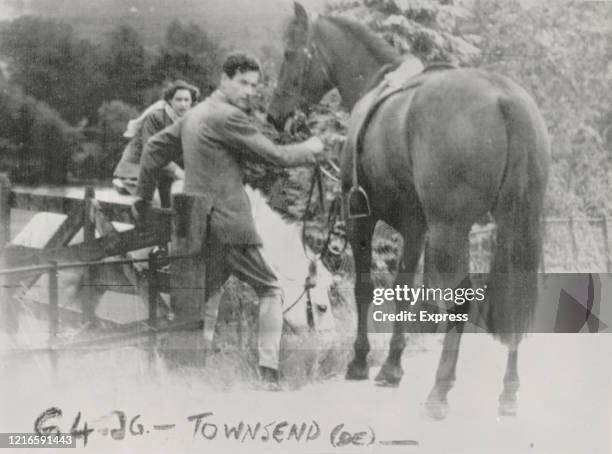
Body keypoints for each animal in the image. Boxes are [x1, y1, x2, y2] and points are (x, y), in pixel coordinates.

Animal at [268, 2, 548, 418]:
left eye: (289, 54)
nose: (275, 116)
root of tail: (504, 98)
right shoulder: (416, 227)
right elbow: (402, 287)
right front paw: (391, 366)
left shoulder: (360, 217)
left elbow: (365, 288)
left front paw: (360, 361)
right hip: (514, 225)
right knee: (514, 293)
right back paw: (509, 391)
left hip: (452, 229)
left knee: (462, 297)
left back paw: (440, 390)